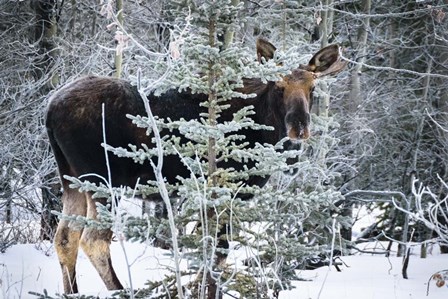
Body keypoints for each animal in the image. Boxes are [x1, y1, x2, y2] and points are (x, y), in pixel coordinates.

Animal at [46, 38, 346, 294]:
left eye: (313, 88)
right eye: (279, 86)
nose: (299, 127)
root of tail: (49, 111)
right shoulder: (229, 189)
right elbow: (218, 253)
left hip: (71, 179)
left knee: (65, 238)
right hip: (103, 179)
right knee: (93, 240)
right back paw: (122, 290)